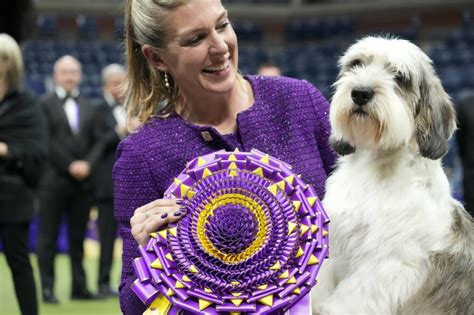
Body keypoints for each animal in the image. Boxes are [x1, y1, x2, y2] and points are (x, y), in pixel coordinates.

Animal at [312, 36, 474, 314]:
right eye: (356, 64)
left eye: (399, 76)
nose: (360, 93)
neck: (374, 168)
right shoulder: (335, 244)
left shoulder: (389, 265)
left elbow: (349, 300)